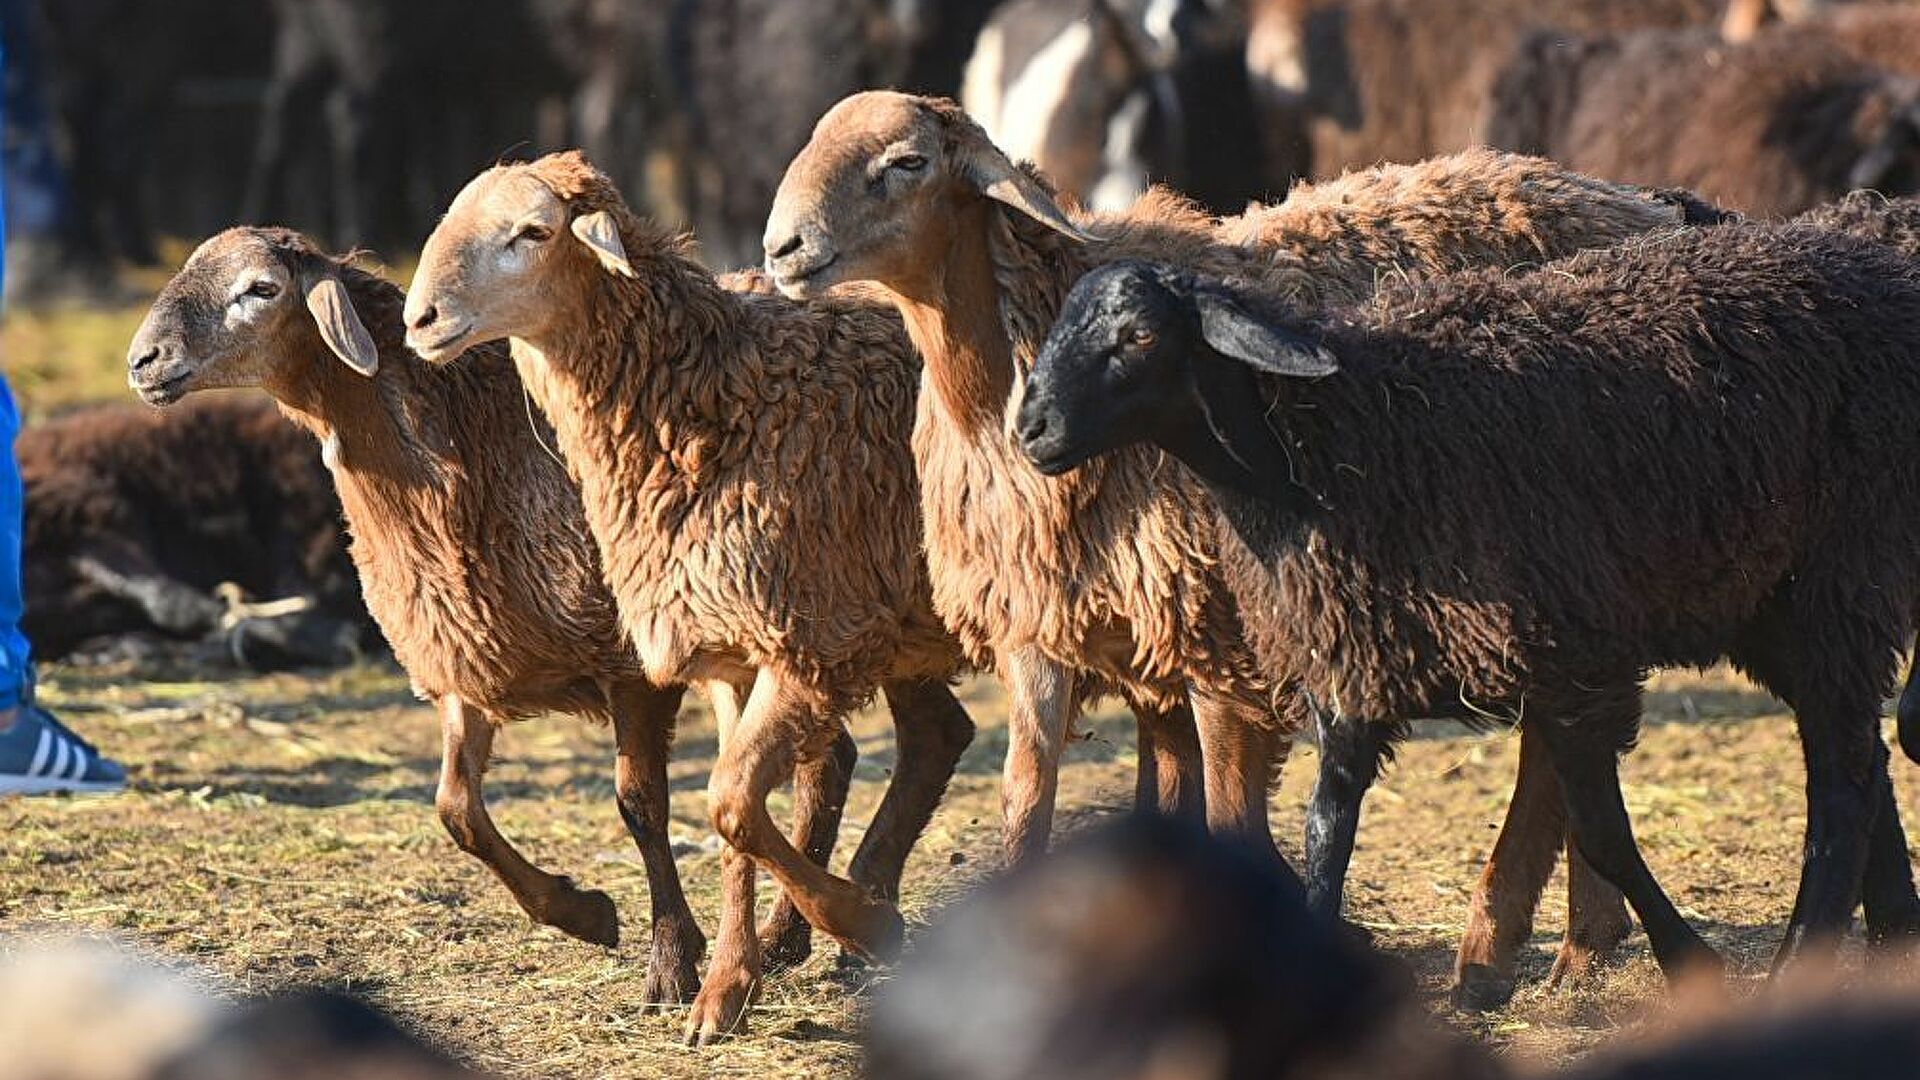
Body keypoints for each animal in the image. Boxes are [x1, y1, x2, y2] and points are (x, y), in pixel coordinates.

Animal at [120, 226, 864, 999]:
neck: (469, 449)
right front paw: (581, 912)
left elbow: (640, 804)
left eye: (260, 289)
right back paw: (791, 938)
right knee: (833, 757)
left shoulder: (631, 667)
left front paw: (669, 960)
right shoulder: (463, 662)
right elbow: (457, 811)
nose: (143, 361)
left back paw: (794, 934)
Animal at [401, 147, 975, 1037]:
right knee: (940, 736)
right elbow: (731, 822)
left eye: (531, 232)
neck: (716, 400)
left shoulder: (802, 639)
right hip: (901, 621)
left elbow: (731, 802)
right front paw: (727, 991)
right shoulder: (732, 651)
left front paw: (857, 924)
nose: (420, 319)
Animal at [756, 90, 1720, 991]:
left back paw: (1524, 943)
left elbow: (1227, 816)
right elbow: (1025, 805)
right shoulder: (1043, 624)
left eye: (906, 161)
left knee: (1557, 745)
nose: (782, 250)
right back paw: (1572, 941)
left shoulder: (1221, 634)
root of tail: (1635, 201)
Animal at [1021, 222, 1920, 991]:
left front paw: (1689, 960)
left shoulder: (1572, 663)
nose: (1030, 428)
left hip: (1842, 575)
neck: (1329, 445)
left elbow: (1603, 835)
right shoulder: (1355, 663)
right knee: (1865, 763)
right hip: (1773, 604)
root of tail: (1871, 264)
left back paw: (1799, 963)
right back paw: (1890, 939)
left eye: (1139, 337)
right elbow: (1326, 828)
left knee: (1842, 781)